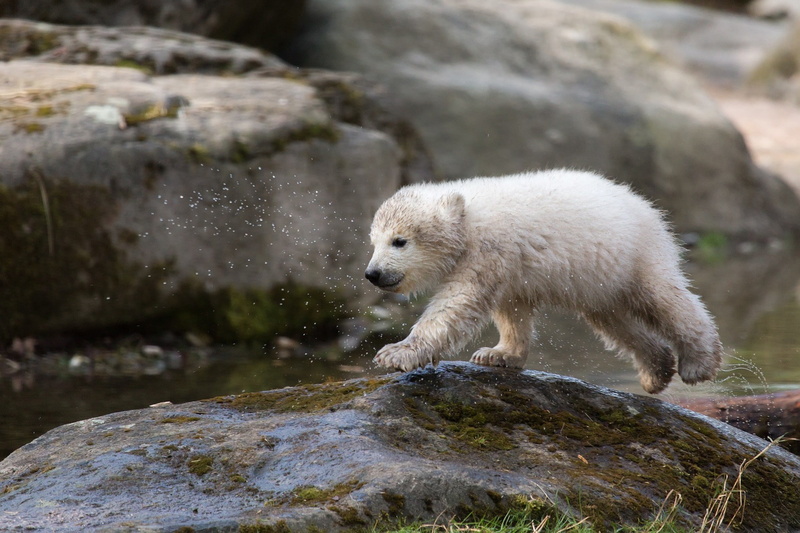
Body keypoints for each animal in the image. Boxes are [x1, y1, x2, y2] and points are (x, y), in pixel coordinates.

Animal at [364, 169, 722, 394]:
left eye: (399, 241)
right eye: (373, 241)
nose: (373, 274)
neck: (468, 216)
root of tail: (642, 203)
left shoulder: (488, 250)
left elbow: (458, 302)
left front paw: (396, 353)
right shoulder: (509, 267)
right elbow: (511, 310)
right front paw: (498, 354)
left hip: (633, 254)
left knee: (665, 299)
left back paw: (698, 363)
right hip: (601, 280)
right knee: (614, 321)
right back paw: (655, 371)